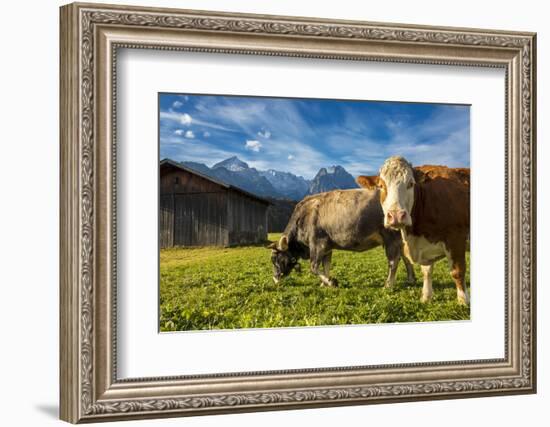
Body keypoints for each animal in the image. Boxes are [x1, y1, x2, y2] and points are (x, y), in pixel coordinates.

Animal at [270, 190, 416, 288]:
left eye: (276, 259)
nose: (275, 279)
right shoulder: (327, 247)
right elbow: (326, 266)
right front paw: (325, 283)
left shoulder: (317, 243)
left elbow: (314, 267)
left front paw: (331, 282)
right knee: (405, 257)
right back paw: (410, 279)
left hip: (391, 236)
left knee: (393, 260)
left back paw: (388, 284)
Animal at [360, 157, 472, 304]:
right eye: (381, 185)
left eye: (410, 184)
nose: (396, 216)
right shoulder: (425, 245)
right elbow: (426, 271)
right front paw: (426, 296)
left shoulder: (456, 238)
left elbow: (457, 271)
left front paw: (463, 300)